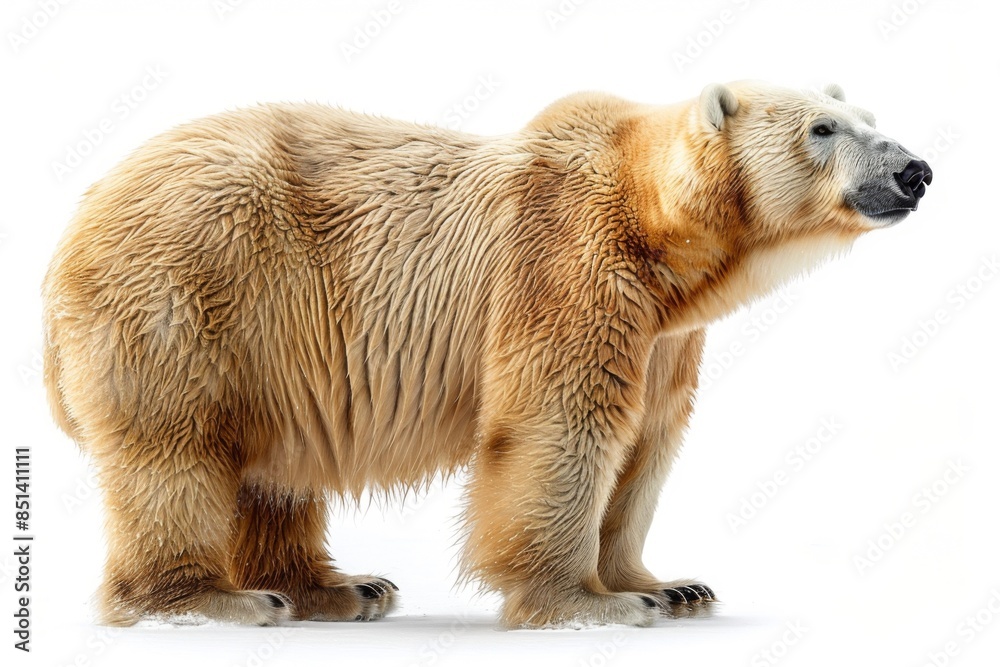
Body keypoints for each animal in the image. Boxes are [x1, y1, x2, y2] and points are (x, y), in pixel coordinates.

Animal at [42, 80, 932, 628]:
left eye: (869, 114)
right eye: (823, 128)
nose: (914, 168)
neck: (655, 227)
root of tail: (76, 220)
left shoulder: (667, 332)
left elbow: (647, 442)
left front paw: (670, 585)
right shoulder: (571, 261)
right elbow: (561, 425)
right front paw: (591, 603)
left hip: (265, 341)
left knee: (273, 469)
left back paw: (341, 586)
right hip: (195, 287)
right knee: (177, 447)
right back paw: (215, 599)